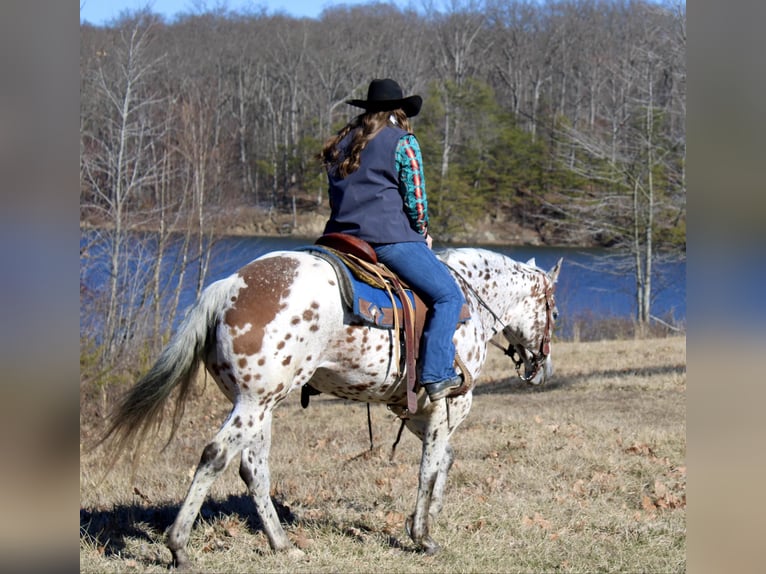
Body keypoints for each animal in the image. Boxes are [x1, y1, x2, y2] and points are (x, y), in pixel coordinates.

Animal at [100, 248, 564, 572]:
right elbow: (429, 467)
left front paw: (426, 519)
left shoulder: (411, 409)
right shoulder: (448, 402)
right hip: (255, 402)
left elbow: (443, 460)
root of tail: (229, 285)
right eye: (554, 312)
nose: (541, 369)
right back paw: (179, 547)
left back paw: (282, 543)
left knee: (253, 468)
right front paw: (422, 535)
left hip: (259, 403)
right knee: (215, 455)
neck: (469, 299)